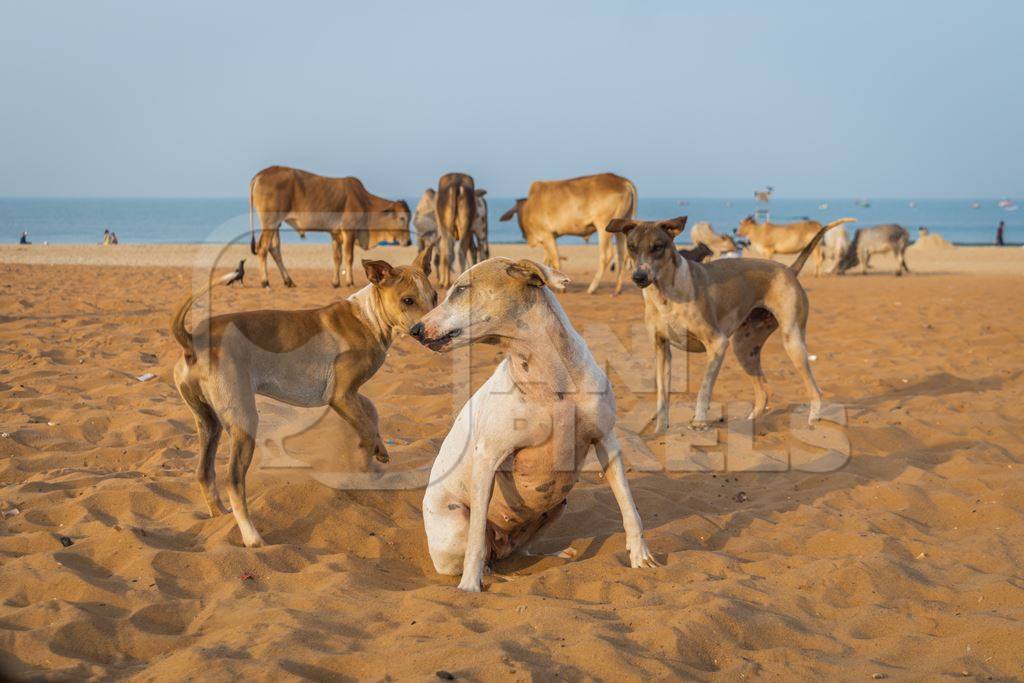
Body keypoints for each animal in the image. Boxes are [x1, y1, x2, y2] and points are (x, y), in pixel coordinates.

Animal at [172, 248, 436, 548]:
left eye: (435, 296)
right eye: (407, 300)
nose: (429, 329)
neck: (368, 317)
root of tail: (192, 340)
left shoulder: (349, 394)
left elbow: (370, 411)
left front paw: (379, 448)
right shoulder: (340, 395)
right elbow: (366, 427)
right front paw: (365, 463)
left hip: (209, 422)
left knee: (204, 472)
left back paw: (220, 516)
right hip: (244, 421)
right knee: (233, 480)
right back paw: (252, 537)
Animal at [248, 165, 411, 288]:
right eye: (402, 218)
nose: (409, 241)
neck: (364, 202)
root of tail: (259, 175)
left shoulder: (335, 234)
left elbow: (337, 258)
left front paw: (335, 283)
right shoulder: (349, 231)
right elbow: (349, 258)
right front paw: (350, 282)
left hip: (276, 224)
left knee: (275, 249)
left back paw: (288, 281)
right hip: (270, 222)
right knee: (263, 248)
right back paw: (265, 282)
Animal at [499, 172, 634, 292]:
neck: (529, 207)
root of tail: (622, 181)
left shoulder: (547, 235)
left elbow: (555, 259)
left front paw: (561, 289)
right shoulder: (550, 238)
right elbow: (546, 261)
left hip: (603, 226)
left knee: (606, 255)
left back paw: (592, 288)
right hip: (620, 227)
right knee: (622, 254)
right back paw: (617, 289)